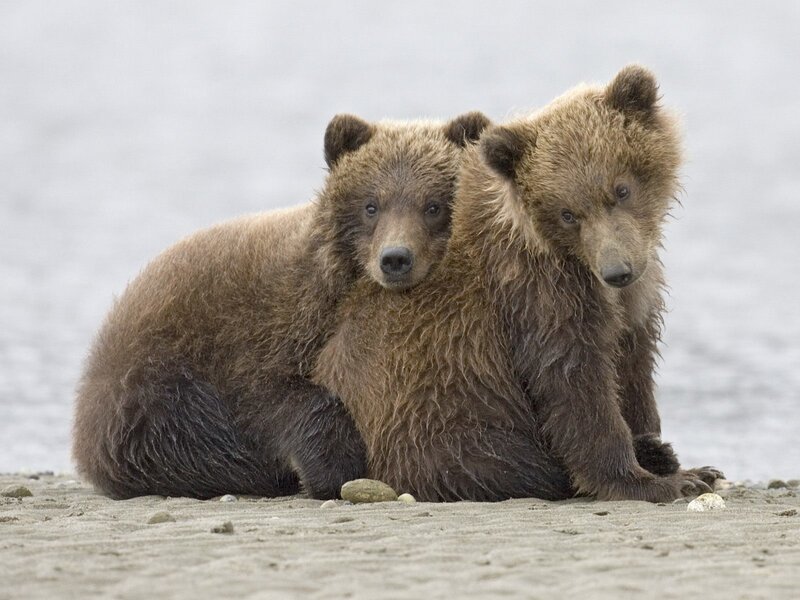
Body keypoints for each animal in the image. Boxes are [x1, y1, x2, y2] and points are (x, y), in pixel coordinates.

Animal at [72, 110, 492, 500]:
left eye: (433, 205)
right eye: (371, 205)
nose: (395, 258)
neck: (335, 287)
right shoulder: (262, 331)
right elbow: (275, 400)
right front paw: (334, 467)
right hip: (149, 387)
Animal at [312, 65, 723, 502]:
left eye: (621, 188)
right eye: (567, 214)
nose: (617, 270)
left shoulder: (634, 300)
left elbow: (633, 368)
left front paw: (671, 454)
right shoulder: (538, 294)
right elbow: (575, 384)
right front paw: (655, 480)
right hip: (434, 414)